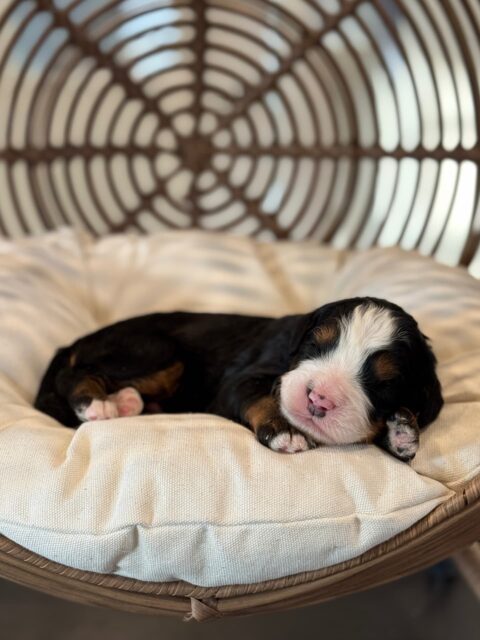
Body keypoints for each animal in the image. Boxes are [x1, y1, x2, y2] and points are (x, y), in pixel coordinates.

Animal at [34, 298, 442, 462]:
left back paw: (126, 403)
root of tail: (77, 341)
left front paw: (402, 432)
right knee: (77, 373)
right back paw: (97, 405)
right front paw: (285, 432)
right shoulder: (241, 379)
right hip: (154, 349)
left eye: (384, 382)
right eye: (316, 345)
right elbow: (261, 398)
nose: (319, 398)